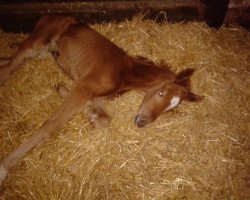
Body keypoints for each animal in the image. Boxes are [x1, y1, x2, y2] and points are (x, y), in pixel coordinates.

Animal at [0, 14, 203, 185]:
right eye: (161, 92)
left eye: (171, 108)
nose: (142, 122)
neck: (124, 73)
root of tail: (50, 15)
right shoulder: (84, 87)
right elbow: (51, 126)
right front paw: (4, 167)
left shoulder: (90, 93)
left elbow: (104, 119)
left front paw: (87, 111)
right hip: (35, 44)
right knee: (8, 69)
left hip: (43, 52)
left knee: (6, 61)